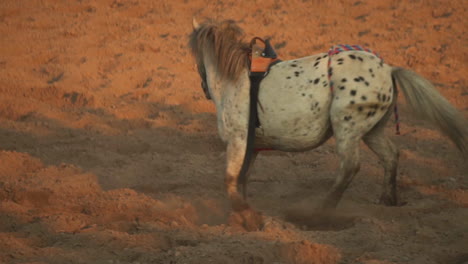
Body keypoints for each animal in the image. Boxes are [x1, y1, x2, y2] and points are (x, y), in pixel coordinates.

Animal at [188, 18, 466, 230]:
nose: (203, 88)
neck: (236, 79)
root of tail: (389, 70)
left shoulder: (238, 141)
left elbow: (230, 178)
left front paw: (248, 217)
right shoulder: (252, 148)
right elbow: (242, 179)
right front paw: (241, 215)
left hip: (347, 127)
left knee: (350, 166)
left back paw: (319, 214)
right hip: (372, 130)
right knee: (390, 155)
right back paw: (387, 201)